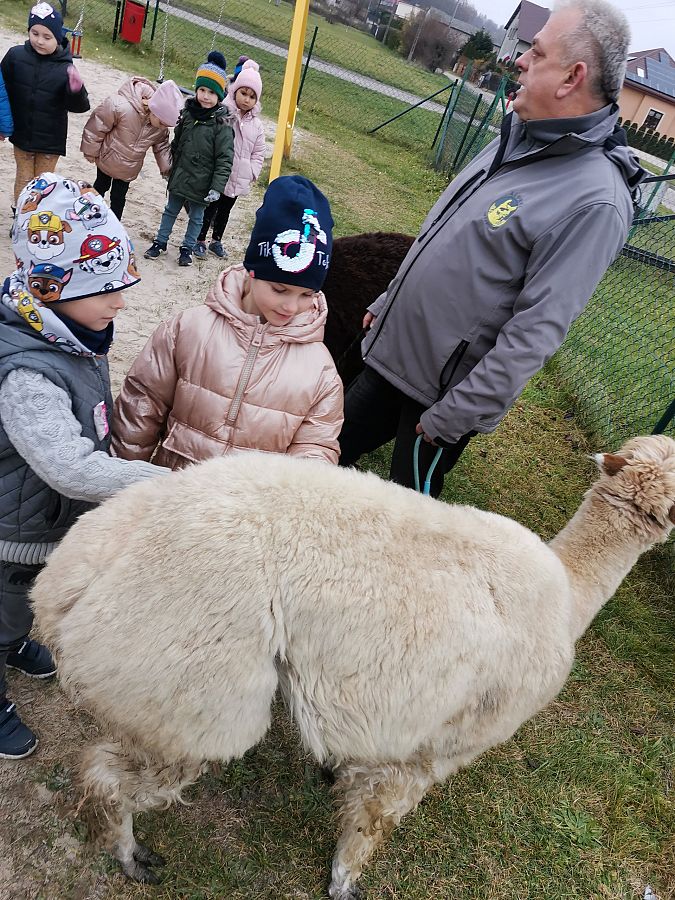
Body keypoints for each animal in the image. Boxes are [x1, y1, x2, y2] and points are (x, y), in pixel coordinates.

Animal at [31, 434, 675, 898]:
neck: (565, 598)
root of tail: (66, 586)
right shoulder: (440, 744)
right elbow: (374, 820)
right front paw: (344, 882)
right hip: (184, 687)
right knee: (106, 776)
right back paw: (130, 857)